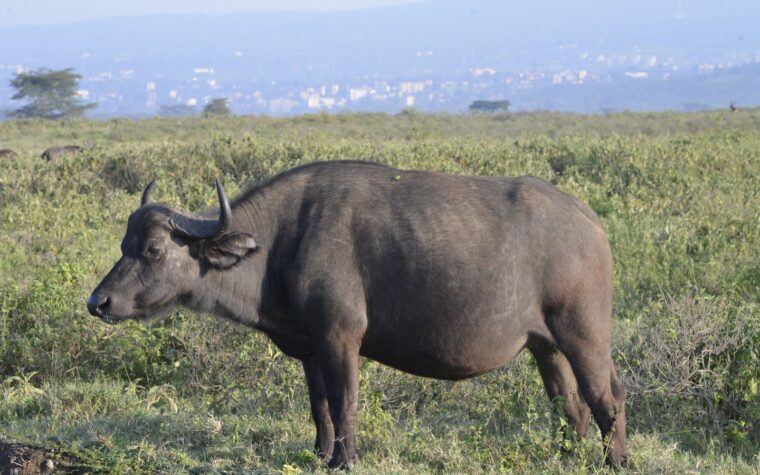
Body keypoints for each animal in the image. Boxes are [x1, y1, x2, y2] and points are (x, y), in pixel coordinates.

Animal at [88, 161, 627, 469]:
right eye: (124, 244)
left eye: (154, 249)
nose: (99, 302)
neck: (281, 242)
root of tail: (590, 223)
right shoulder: (310, 351)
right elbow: (320, 406)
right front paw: (320, 454)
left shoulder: (340, 338)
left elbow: (345, 401)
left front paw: (343, 461)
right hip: (546, 346)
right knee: (568, 405)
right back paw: (566, 457)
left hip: (583, 334)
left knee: (607, 397)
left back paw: (615, 461)